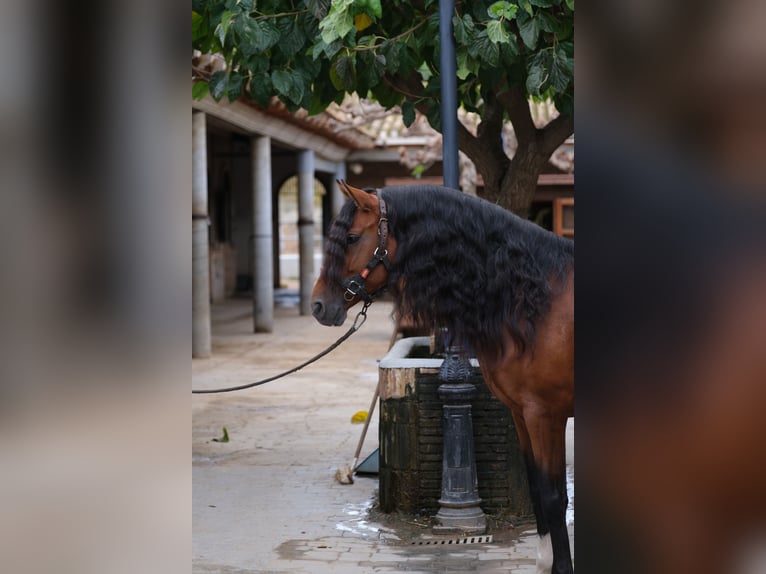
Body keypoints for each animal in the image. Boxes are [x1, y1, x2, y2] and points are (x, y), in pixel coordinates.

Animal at [314, 182, 576, 572]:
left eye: (351, 237)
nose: (318, 305)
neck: (538, 298)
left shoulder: (546, 415)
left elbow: (553, 496)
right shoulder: (522, 414)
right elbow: (536, 490)